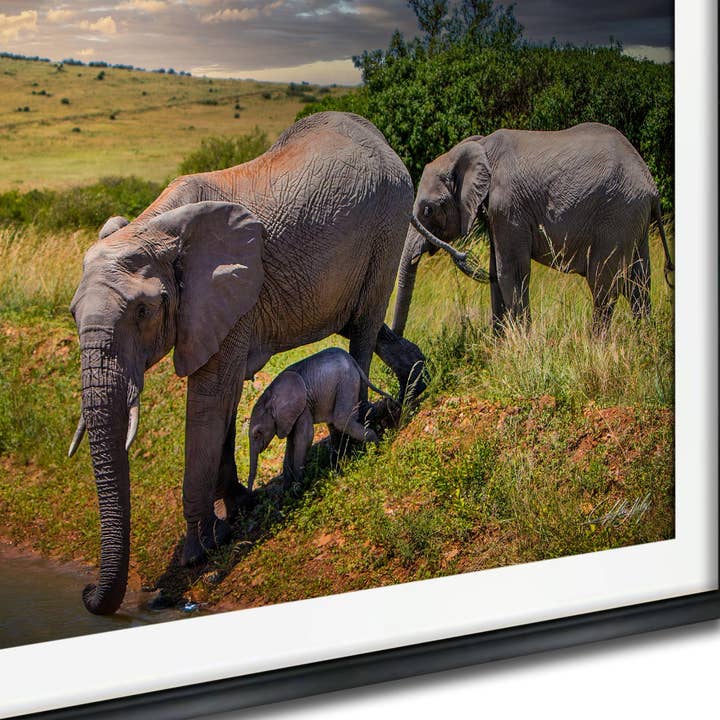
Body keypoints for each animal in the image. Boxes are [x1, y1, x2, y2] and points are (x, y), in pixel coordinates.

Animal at [246, 347, 395, 492]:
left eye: (257, 434)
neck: (269, 395)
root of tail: (352, 360)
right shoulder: (289, 416)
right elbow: (291, 443)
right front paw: (287, 490)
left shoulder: (303, 406)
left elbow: (304, 438)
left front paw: (298, 489)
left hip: (346, 381)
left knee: (341, 420)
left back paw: (376, 447)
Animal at [392, 122, 674, 336]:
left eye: (428, 210)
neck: (480, 147)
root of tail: (651, 186)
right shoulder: (497, 213)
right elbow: (497, 273)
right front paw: (499, 349)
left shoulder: (508, 207)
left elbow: (510, 272)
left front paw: (522, 345)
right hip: (634, 221)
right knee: (639, 283)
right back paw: (643, 340)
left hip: (617, 214)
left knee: (605, 283)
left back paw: (597, 344)